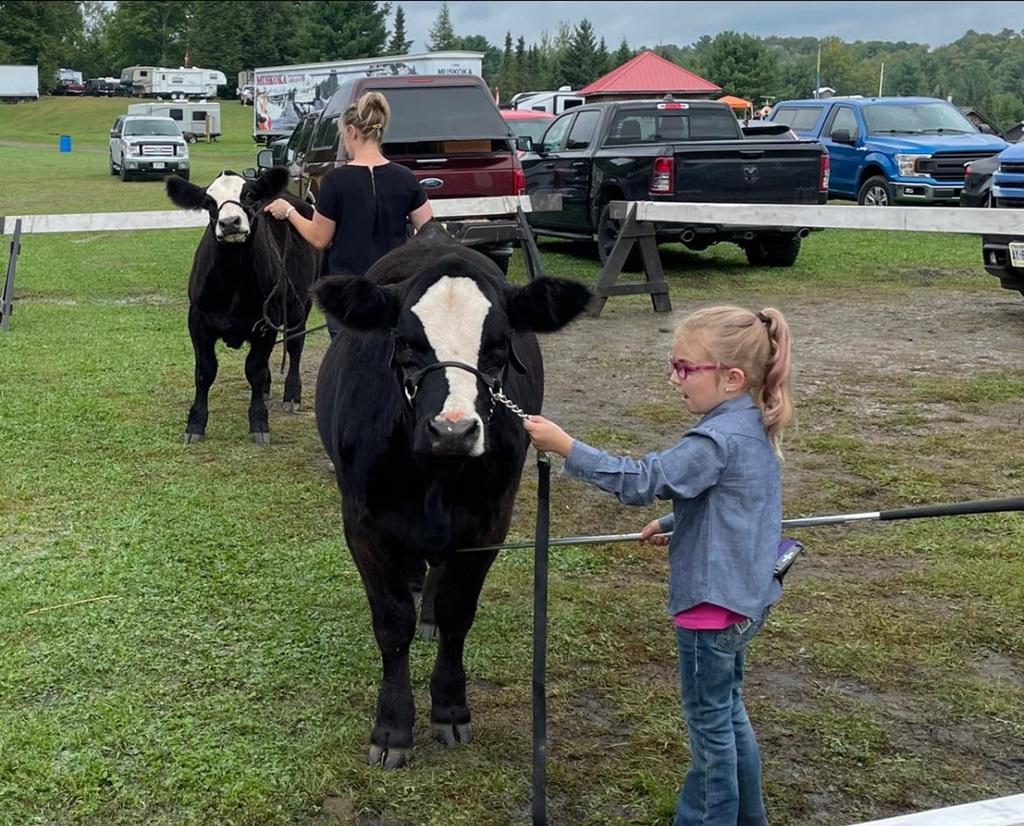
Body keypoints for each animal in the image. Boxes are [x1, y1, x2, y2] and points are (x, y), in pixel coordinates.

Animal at [165, 168, 320, 444]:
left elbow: (255, 370)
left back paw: (292, 394)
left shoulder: (266, 322)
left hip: (301, 304)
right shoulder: (198, 321)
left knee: (294, 345)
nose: (230, 223)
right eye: (209, 202)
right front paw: (195, 424)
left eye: (248, 194)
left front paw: (259, 422)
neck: (232, 276)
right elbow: (204, 371)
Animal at [313, 221, 593, 769]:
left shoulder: (489, 521)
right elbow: (391, 621)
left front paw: (449, 707)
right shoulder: (361, 520)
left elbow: (458, 611)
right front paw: (392, 727)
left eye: (500, 345)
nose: (453, 430)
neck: (434, 476)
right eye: (404, 342)